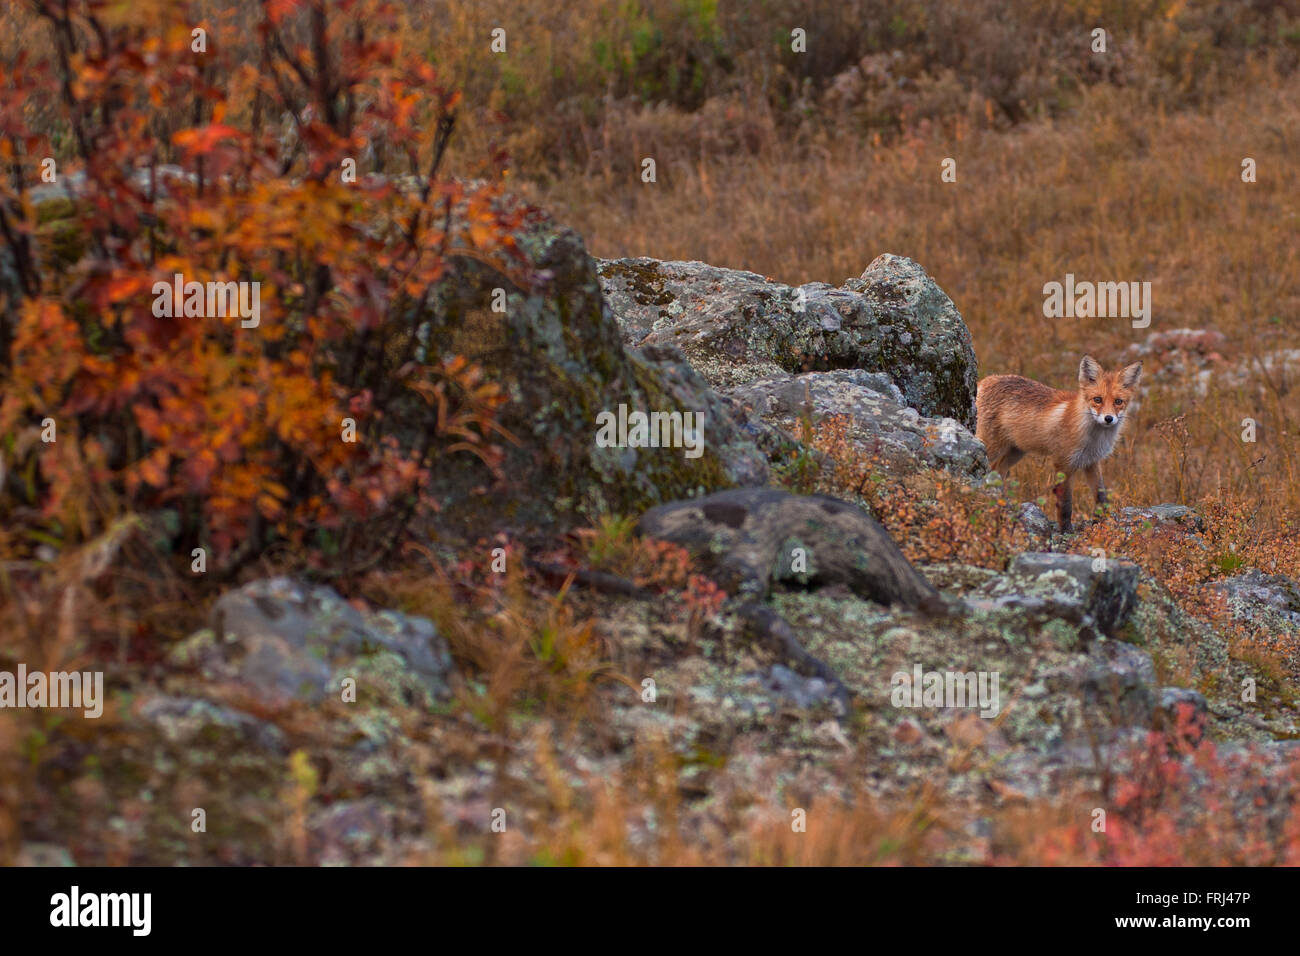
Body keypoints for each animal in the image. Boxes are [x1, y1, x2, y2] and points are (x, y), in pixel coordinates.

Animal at [976, 355, 1142, 532]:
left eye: (1118, 401)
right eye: (1097, 399)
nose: (1108, 418)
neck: (1093, 439)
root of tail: (987, 380)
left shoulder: (1092, 461)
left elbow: (1101, 495)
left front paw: (1102, 522)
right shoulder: (1063, 463)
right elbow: (1065, 505)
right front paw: (1066, 531)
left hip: (1016, 451)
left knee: (996, 471)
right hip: (991, 446)